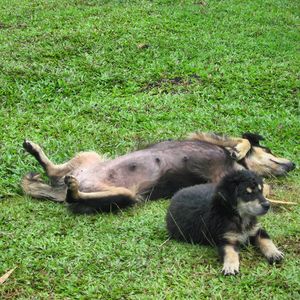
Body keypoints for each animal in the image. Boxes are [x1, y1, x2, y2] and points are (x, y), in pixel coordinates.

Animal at [22, 132, 294, 213]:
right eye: (269, 149)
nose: (293, 165)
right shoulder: (204, 136)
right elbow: (243, 140)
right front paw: (239, 149)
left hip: (126, 196)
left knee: (70, 194)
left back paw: (72, 187)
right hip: (89, 157)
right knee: (54, 171)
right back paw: (35, 151)